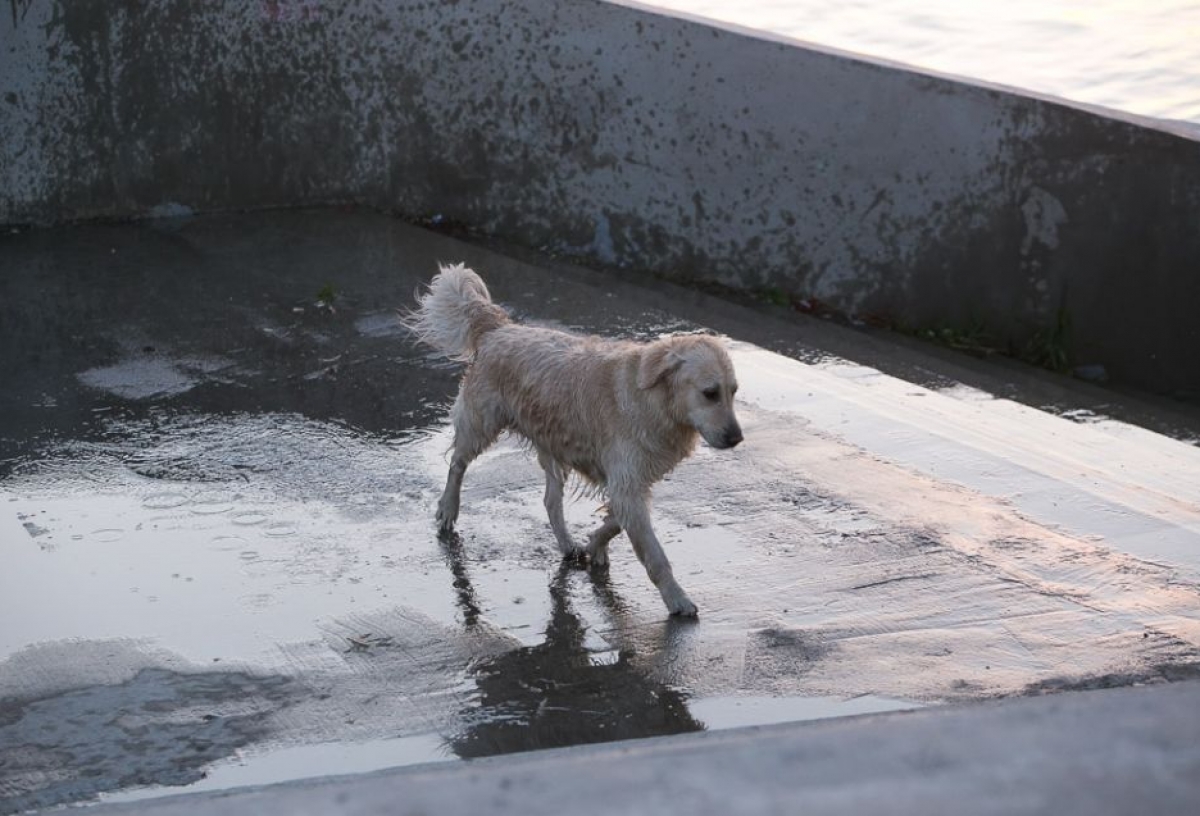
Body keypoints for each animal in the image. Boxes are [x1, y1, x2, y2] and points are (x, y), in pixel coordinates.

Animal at [403, 264, 739, 614]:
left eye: (734, 392)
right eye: (710, 393)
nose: (736, 437)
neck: (655, 400)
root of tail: (500, 328)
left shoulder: (630, 480)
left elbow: (614, 521)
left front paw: (595, 545)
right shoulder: (627, 481)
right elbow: (654, 553)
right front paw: (677, 598)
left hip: (553, 444)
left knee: (551, 502)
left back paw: (566, 543)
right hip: (482, 421)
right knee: (457, 463)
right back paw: (448, 508)